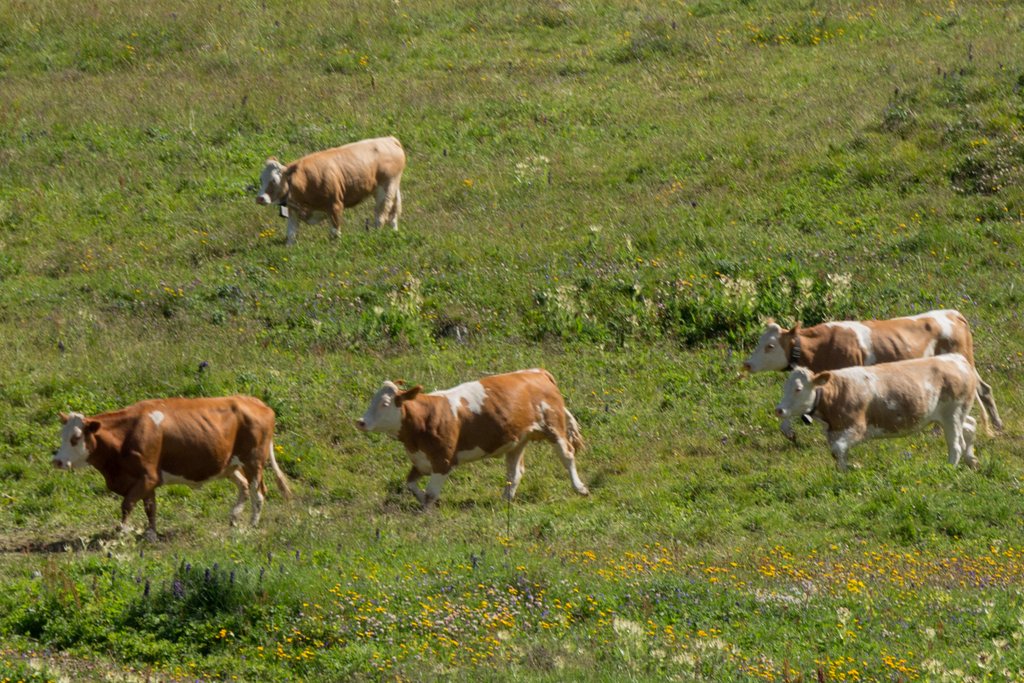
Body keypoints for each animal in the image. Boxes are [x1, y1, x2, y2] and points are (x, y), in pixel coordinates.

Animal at [52, 395, 292, 540]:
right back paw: (233, 517)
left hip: (253, 461)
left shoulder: (147, 476)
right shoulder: (146, 480)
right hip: (229, 465)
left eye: (75, 437)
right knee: (243, 487)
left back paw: (252, 525)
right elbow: (150, 507)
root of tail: (258, 402)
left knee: (258, 492)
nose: (57, 461)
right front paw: (150, 533)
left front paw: (122, 530)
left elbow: (127, 504)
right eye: (62, 436)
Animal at [253, 135, 405, 244]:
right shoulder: (293, 210)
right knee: (393, 212)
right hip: (391, 188)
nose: (260, 198)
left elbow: (335, 233)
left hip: (386, 188)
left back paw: (376, 236)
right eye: (261, 179)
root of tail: (389, 139)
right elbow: (291, 234)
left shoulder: (335, 205)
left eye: (274, 180)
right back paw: (394, 232)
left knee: (381, 216)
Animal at [354, 368, 589, 507]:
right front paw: (422, 503)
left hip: (554, 426)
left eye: (385, 403)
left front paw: (427, 512)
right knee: (515, 472)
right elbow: (411, 484)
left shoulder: (443, 461)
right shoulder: (421, 461)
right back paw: (505, 500)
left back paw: (580, 488)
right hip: (517, 439)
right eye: (371, 400)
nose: (361, 421)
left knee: (567, 455)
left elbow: (430, 493)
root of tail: (537, 372)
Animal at [741, 311, 1003, 440]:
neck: (822, 346)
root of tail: (953, 313)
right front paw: (789, 431)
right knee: (985, 389)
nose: (747, 364)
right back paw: (996, 426)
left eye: (770, 346)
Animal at [774, 356, 983, 473]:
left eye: (798, 389)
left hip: (952, 414)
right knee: (971, 425)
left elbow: (838, 449)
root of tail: (958, 359)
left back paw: (948, 469)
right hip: (950, 415)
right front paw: (843, 470)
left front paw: (850, 469)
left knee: (956, 445)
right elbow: (837, 451)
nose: (779, 409)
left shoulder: (858, 428)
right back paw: (971, 461)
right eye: (785, 387)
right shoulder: (834, 431)